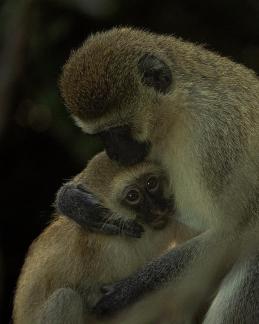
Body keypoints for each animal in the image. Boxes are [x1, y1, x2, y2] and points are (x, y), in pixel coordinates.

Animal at [59, 27, 259, 322]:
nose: (115, 153)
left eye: (118, 130)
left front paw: (128, 289)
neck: (180, 108)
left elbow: (234, 230)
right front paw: (72, 202)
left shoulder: (218, 133)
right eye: (100, 135)